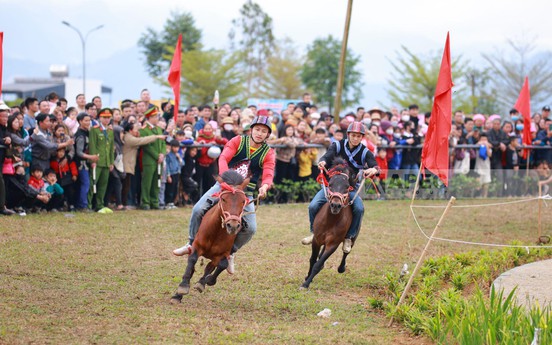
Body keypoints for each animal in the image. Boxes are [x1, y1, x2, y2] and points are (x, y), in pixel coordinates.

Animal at [172, 170, 250, 300]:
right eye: (223, 199)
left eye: (243, 201)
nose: (233, 225)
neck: (216, 232)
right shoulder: (197, 245)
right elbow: (192, 259)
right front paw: (182, 287)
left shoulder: (223, 253)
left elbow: (221, 265)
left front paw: (206, 281)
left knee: (210, 266)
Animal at [300, 159, 356, 288]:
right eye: (330, 184)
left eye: (347, 187)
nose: (335, 205)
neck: (331, 221)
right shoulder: (317, 240)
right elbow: (313, 259)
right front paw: (307, 277)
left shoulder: (333, 244)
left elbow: (317, 264)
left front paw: (306, 284)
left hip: (354, 235)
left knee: (346, 251)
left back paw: (341, 267)